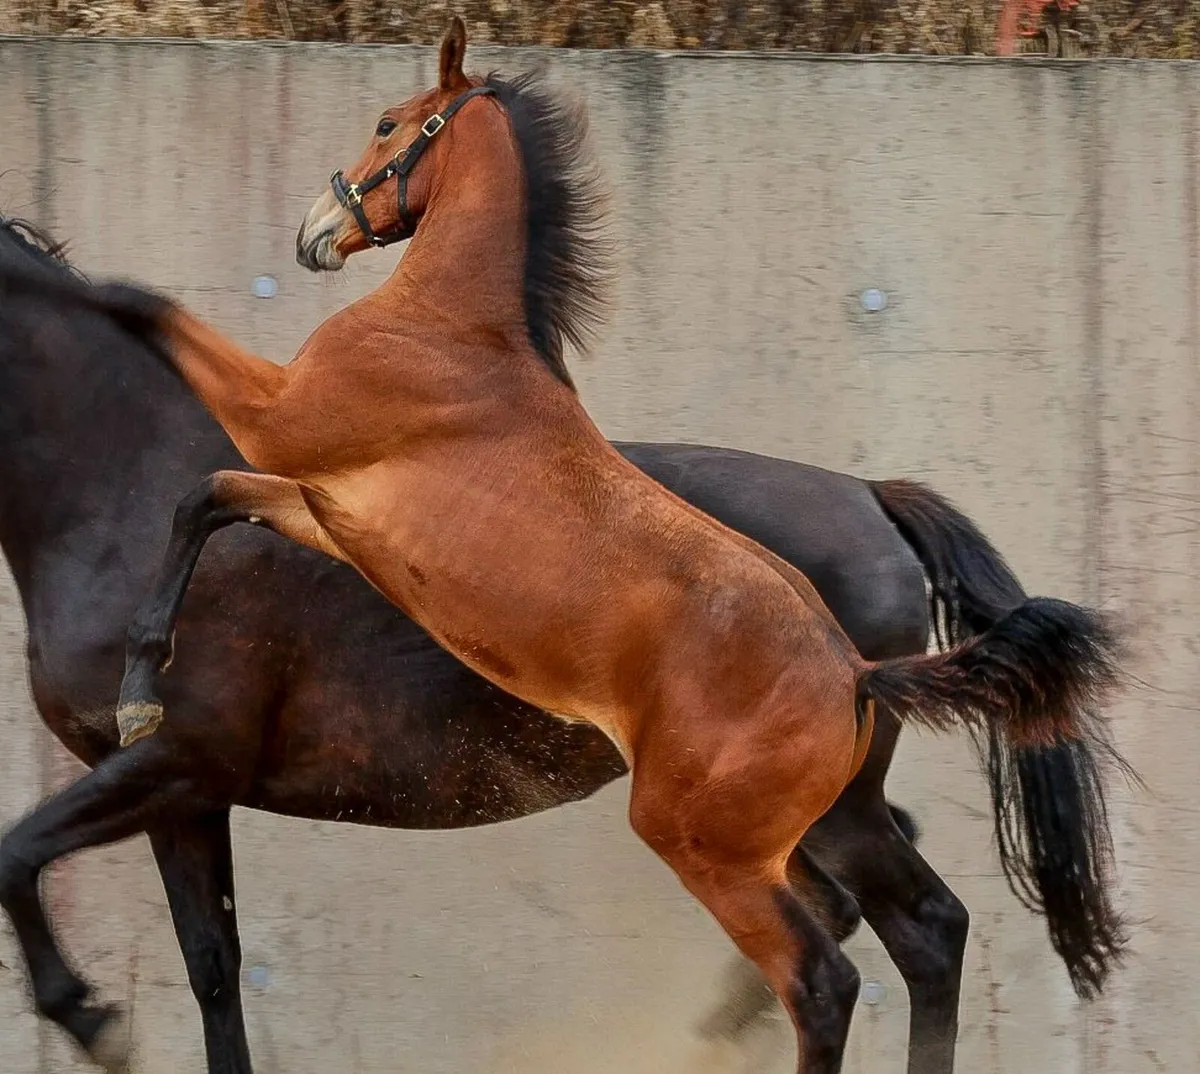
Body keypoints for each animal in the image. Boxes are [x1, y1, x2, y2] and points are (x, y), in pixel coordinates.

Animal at [0, 22, 1128, 1073]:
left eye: (387, 124)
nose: (315, 229)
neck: (456, 334)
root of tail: (853, 668)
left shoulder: (189, 734)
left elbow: (146, 310)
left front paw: (91, 1016)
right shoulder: (296, 554)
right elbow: (212, 965)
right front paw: (143, 677)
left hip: (713, 840)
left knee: (834, 972)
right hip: (813, 822)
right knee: (924, 928)